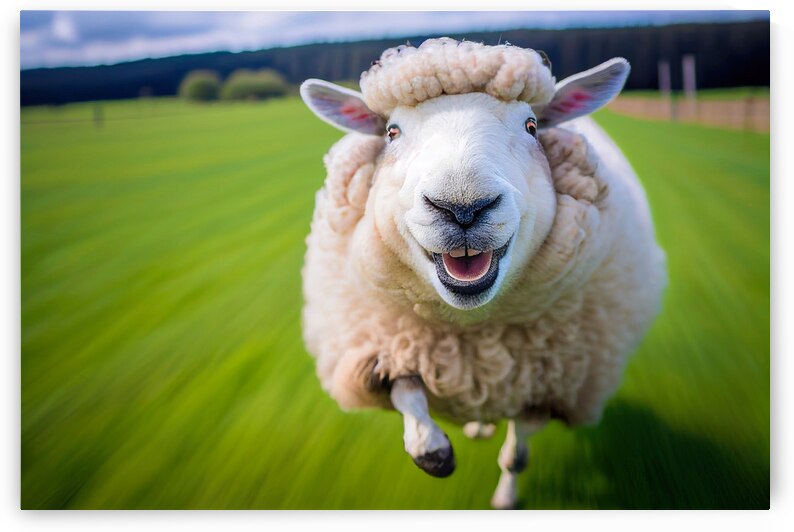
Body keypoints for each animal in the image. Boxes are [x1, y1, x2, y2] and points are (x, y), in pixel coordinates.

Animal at [299, 38, 666, 509]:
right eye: (391, 132)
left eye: (532, 126)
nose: (463, 208)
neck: (473, 329)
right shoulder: (385, 343)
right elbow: (406, 395)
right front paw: (433, 450)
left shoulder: (548, 388)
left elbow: (517, 455)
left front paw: (506, 496)